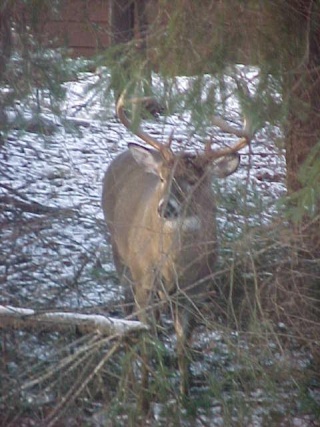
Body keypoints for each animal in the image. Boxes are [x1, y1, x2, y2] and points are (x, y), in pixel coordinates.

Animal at [102, 91, 252, 402]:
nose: (164, 208)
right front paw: (144, 398)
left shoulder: (197, 290)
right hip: (119, 255)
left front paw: (184, 396)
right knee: (127, 312)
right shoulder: (144, 282)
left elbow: (184, 342)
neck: (175, 266)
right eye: (162, 178)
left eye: (193, 182)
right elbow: (145, 336)